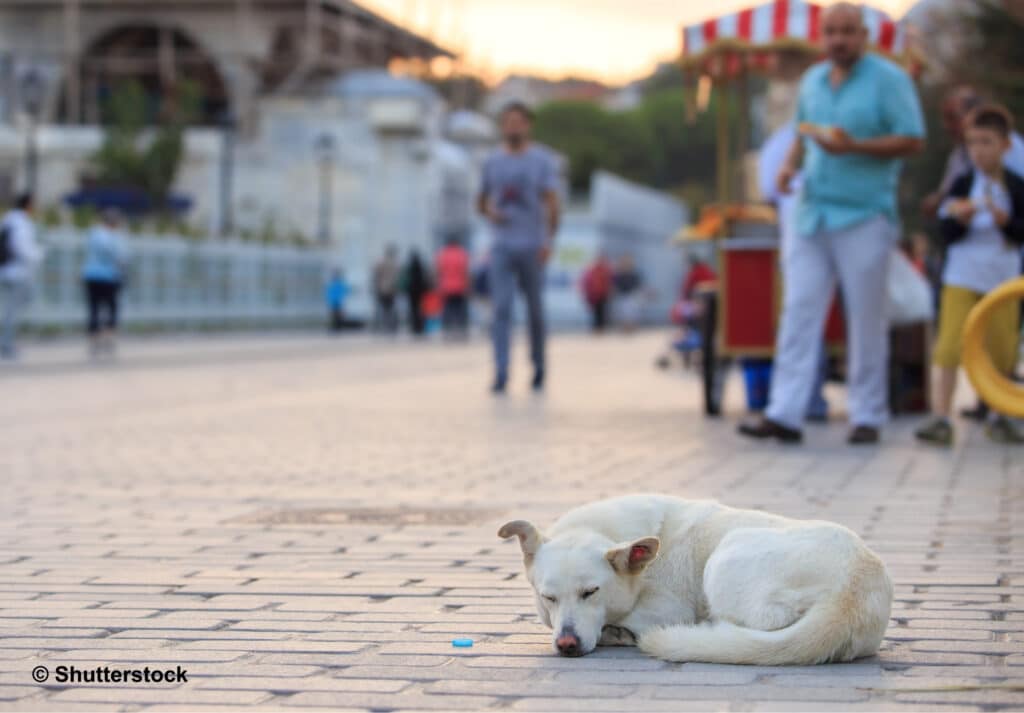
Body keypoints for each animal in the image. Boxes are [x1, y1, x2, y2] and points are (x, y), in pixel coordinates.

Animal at [499, 493, 892, 663]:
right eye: (548, 598)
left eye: (591, 592)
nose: (566, 644)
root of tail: (850, 594)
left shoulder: (668, 608)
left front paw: (618, 631)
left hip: (725, 557)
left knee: (762, 623)